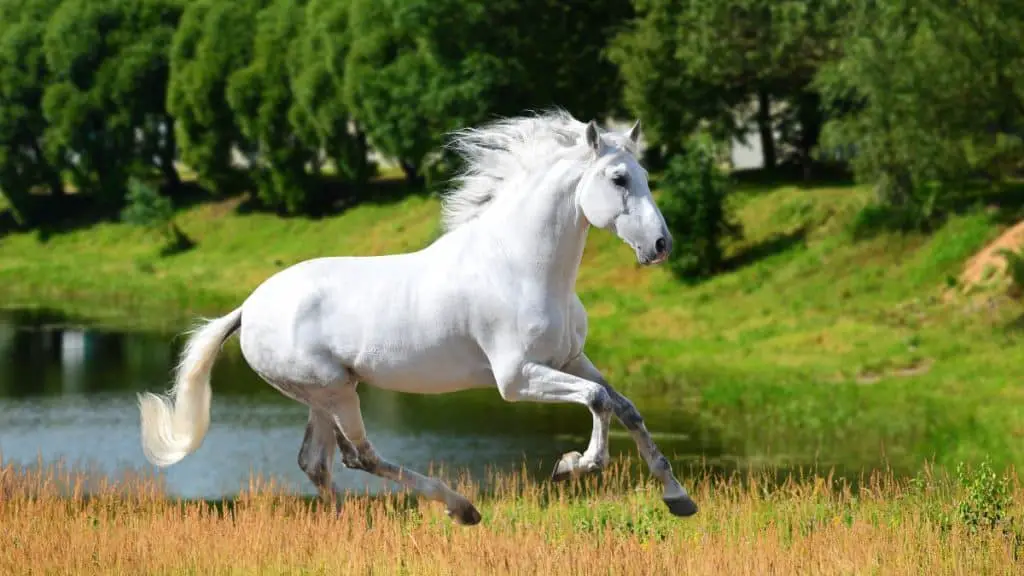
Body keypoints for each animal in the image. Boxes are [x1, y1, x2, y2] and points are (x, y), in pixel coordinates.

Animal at [136, 109, 696, 522]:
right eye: (619, 178)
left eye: (646, 176)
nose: (661, 246)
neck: (520, 265)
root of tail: (248, 308)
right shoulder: (515, 378)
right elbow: (598, 401)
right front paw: (574, 465)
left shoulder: (570, 359)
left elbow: (625, 407)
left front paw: (678, 498)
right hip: (334, 391)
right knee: (358, 455)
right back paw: (461, 508)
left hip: (322, 394)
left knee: (317, 462)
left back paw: (345, 528)